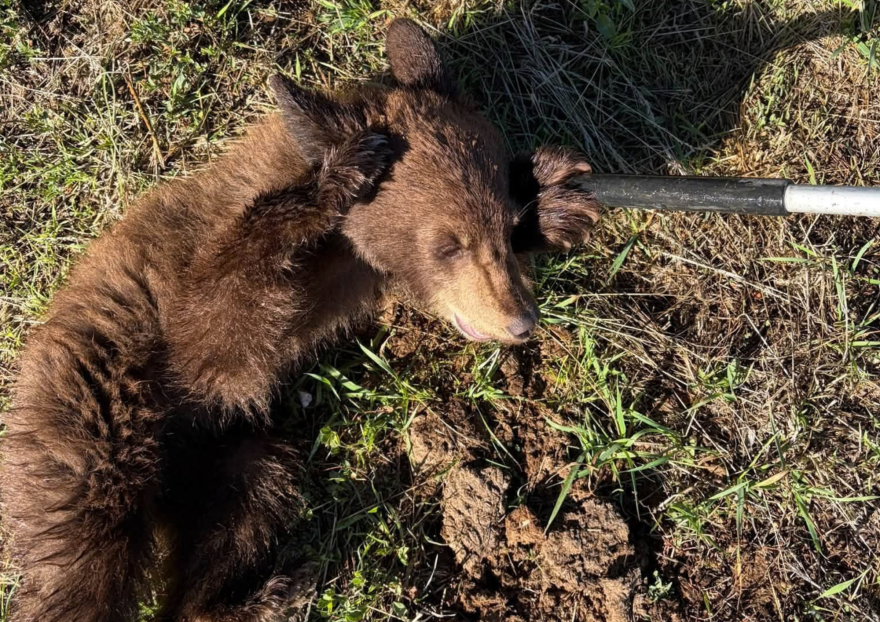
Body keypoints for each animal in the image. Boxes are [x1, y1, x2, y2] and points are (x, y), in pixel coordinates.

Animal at [1, 18, 600, 622]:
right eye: (447, 245)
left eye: (505, 226)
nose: (521, 323)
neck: (342, 249)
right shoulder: (188, 294)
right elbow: (219, 311)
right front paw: (338, 177)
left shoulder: (353, 277)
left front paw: (556, 196)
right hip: (92, 423)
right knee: (86, 559)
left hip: (233, 451)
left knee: (244, 507)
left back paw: (254, 596)